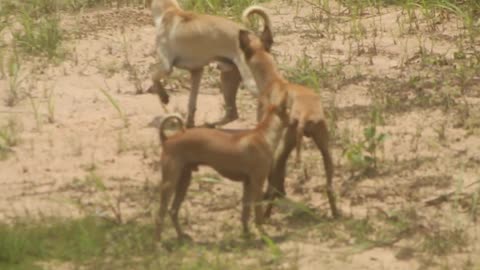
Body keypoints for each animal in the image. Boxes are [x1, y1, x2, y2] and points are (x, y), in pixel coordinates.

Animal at [146, 0, 274, 127]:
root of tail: (258, 40)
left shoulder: (166, 66)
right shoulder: (197, 71)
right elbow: (191, 103)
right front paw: (189, 124)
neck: (169, 9)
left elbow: (153, 75)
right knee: (233, 114)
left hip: (250, 82)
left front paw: (163, 97)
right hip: (228, 78)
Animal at [157, 92, 288, 242]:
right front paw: (264, 235)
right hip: (170, 183)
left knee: (172, 211)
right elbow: (258, 215)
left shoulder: (248, 184)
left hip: (184, 180)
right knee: (160, 215)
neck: (263, 136)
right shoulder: (257, 184)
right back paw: (158, 243)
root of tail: (167, 139)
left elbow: (245, 212)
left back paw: (181, 236)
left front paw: (246, 234)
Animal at [238, 30, 340, 219]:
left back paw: (267, 213)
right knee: (329, 187)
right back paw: (336, 214)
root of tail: (306, 114)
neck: (274, 80)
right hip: (324, 149)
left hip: (284, 147)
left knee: (274, 184)